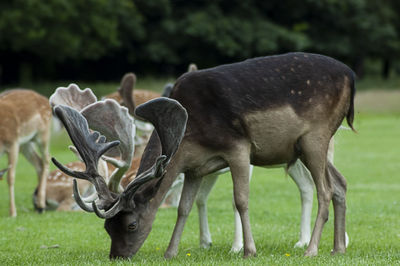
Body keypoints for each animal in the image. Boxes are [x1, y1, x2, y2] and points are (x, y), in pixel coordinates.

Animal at [53, 52, 356, 260]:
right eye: (107, 228)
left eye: (131, 224)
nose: (117, 256)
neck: (192, 131)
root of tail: (350, 75)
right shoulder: (195, 168)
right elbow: (183, 207)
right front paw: (170, 252)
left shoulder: (238, 147)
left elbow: (241, 200)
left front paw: (249, 250)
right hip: (308, 146)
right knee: (340, 183)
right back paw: (338, 248)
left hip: (315, 137)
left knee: (324, 189)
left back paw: (312, 249)